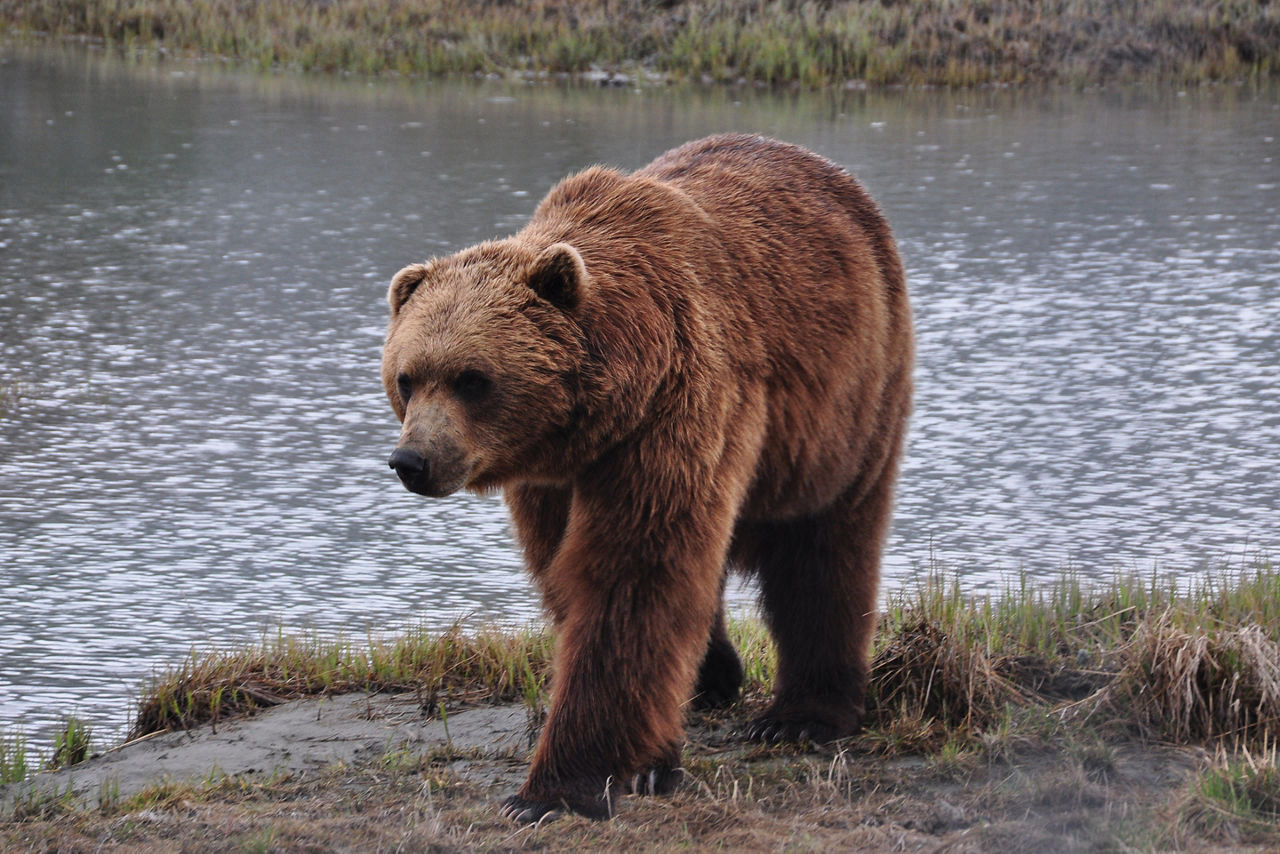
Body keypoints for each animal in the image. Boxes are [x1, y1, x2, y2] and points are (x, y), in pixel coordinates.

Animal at [381, 134, 913, 822]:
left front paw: (552, 790)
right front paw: (656, 752)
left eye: (473, 379)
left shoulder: (676, 410)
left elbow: (630, 576)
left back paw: (802, 716)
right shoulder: (552, 479)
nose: (412, 461)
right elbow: (572, 571)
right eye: (407, 378)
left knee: (824, 552)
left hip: (850, 407)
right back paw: (716, 679)